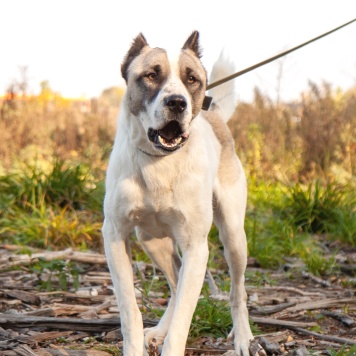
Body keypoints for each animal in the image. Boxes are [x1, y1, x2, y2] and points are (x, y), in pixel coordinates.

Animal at [103, 31, 256, 356]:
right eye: (151, 75)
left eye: (192, 79)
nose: (177, 102)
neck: (159, 162)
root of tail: (215, 115)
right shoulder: (115, 236)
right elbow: (129, 311)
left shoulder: (196, 248)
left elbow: (183, 322)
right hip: (150, 240)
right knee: (174, 283)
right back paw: (159, 330)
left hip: (234, 238)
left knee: (237, 292)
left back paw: (243, 338)